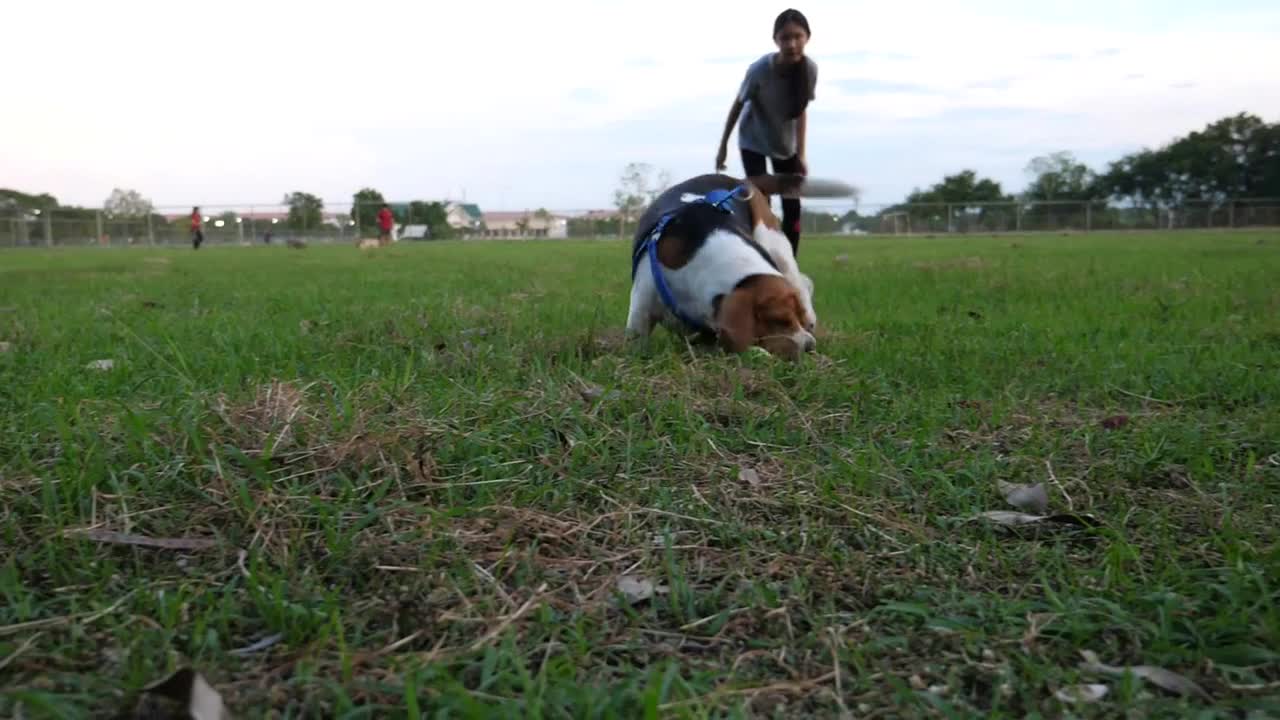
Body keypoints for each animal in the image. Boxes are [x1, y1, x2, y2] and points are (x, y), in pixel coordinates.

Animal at [624, 174, 814, 358]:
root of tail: (741, 181)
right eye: (778, 320)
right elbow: (636, 342)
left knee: (800, 283)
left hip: (775, 245)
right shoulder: (641, 310)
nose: (810, 346)